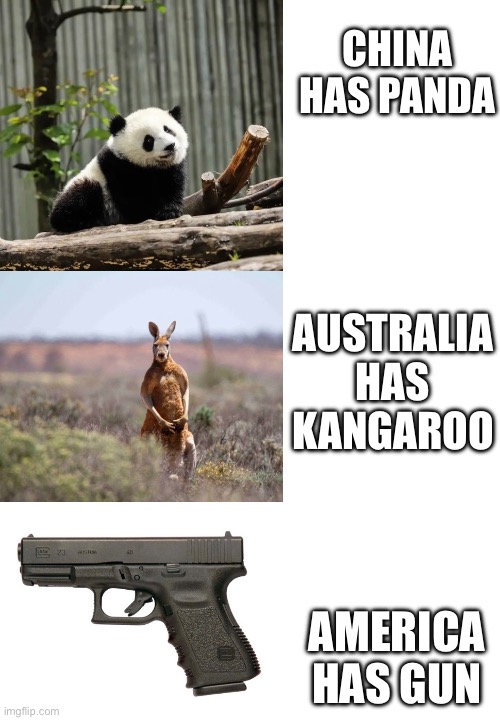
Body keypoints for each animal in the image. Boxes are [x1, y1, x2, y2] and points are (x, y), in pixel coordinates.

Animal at [50, 106, 188, 233]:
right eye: (149, 140)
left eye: (168, 130)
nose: (170, 146)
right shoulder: (117, 168)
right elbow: (132, 198)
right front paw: (148, 213)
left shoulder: (171, 170)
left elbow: (171, 188)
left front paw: (169, 212)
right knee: (82, 194)